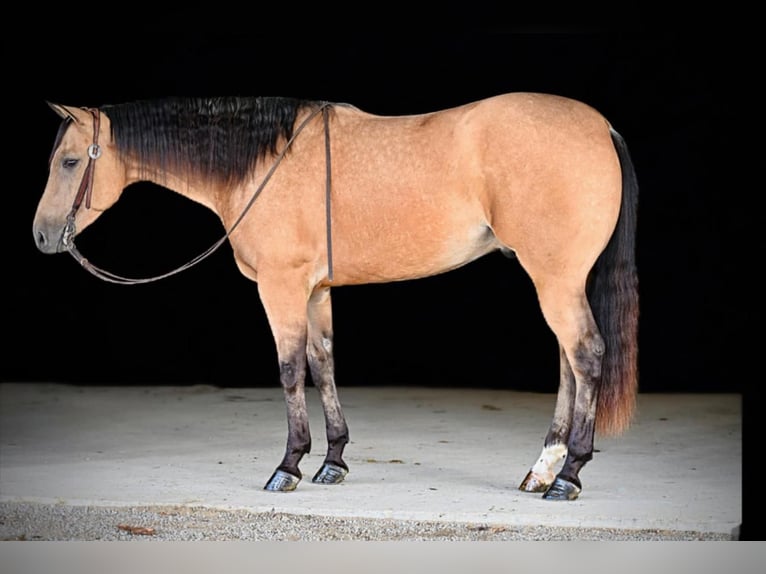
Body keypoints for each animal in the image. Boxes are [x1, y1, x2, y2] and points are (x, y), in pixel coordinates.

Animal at [33, 93, 640, 500]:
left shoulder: (281, 286)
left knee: (585, 356)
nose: (41, 237)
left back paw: (567, 474)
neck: (266, 160)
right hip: (555, 279)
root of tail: (603, 127)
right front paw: (333, 460)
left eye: (69, 161)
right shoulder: (315, 290)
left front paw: (288, 466)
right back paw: (542, 470)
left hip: (556, 278)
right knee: (567, 364)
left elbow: (288, 370)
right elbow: (322, 363)